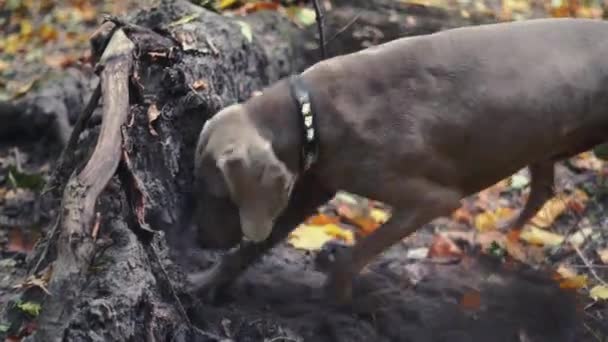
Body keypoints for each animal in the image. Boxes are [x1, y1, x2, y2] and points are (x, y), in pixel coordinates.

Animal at [192, 18, 608, 302]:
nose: (199, 240)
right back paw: (502, 236)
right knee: (542, 189)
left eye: (220, 195)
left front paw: (334, 297)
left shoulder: (432, 199)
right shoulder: (312, 185)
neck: (309, 115)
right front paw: (205, 283)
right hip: (541, 138)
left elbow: (354, 255)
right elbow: (252, 246)